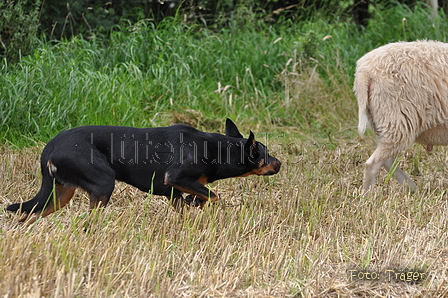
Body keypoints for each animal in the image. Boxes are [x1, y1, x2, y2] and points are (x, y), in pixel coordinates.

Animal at [6, 118, 280, 221]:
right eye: (265, 154)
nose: (280, 163)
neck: (216, 149)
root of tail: (49, 148)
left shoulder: (173, 192)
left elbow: (196, 202)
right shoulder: (176, 178)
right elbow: (213, 195)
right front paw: (196, 202)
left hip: (59, 194)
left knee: (26, 216)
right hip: (103, 182)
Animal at [356, 40, 448, 191]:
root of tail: (365, 71)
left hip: (382, 120)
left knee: (387, 160)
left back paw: (412, 188)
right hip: (397, 119)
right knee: (373, 164)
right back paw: (367, 195)